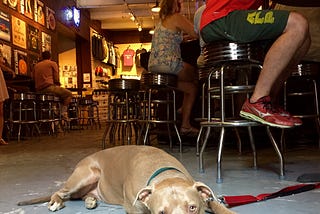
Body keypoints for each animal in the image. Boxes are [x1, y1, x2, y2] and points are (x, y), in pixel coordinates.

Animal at [18, 145, 235, 214]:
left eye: (192, 207)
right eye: (161, 213)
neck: (164, 174)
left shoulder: (204, 195)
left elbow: (218, 205)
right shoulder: (135, 209)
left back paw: (90, 200)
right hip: (86, 174)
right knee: (61, 192)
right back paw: (56, 202)